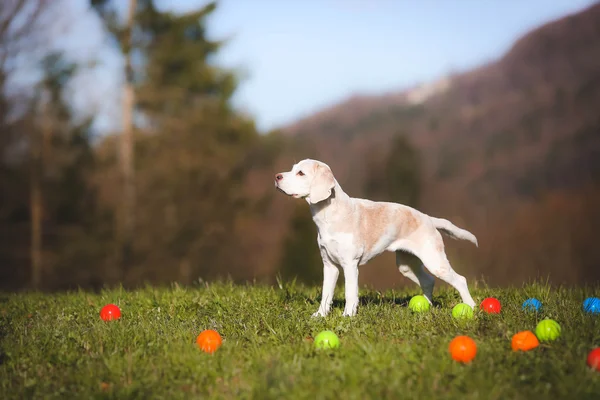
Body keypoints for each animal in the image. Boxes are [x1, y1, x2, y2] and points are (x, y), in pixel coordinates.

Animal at [276, 158, 478, 318]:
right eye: (292, 169)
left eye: (301, 173)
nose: (277, 177)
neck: (328, 215)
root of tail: (428, 218)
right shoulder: (329, 265)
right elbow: (326, 294)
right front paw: (320, 315)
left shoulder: (350, 265)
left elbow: (350, 293)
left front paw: (348, 316)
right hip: (407, 265)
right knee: (428, 281)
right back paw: (426, 306)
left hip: (435, 262)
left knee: (460, 280)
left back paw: (471, 307)